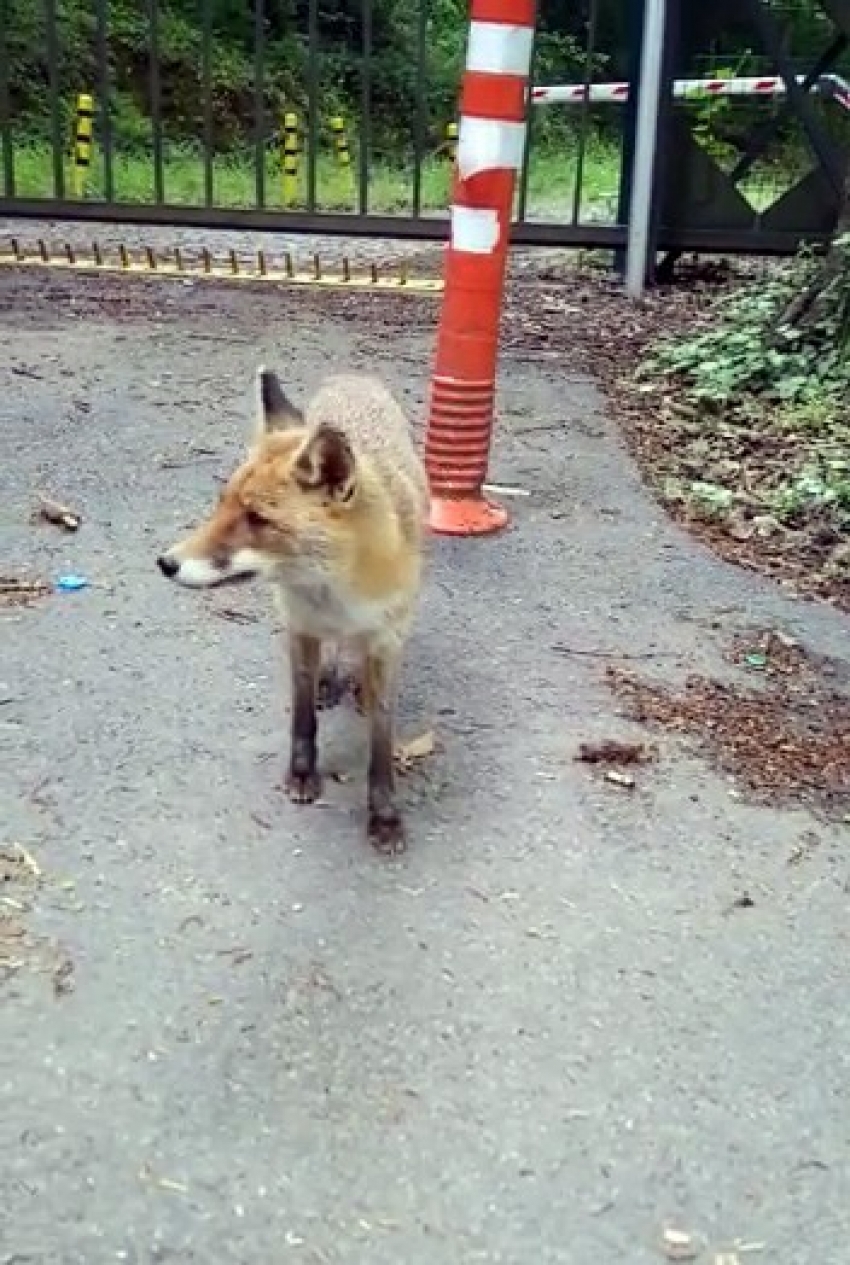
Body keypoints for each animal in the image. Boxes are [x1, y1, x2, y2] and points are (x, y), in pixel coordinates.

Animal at [156, 369, 427, 855]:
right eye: (222, 503)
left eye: (256, 518)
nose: (166, 563)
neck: (336, 595)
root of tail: (352, 376)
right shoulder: (300, 627)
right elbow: (302, 717)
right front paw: (302, 774)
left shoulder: (386, 638)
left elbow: (381, 738)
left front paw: (384, 815)